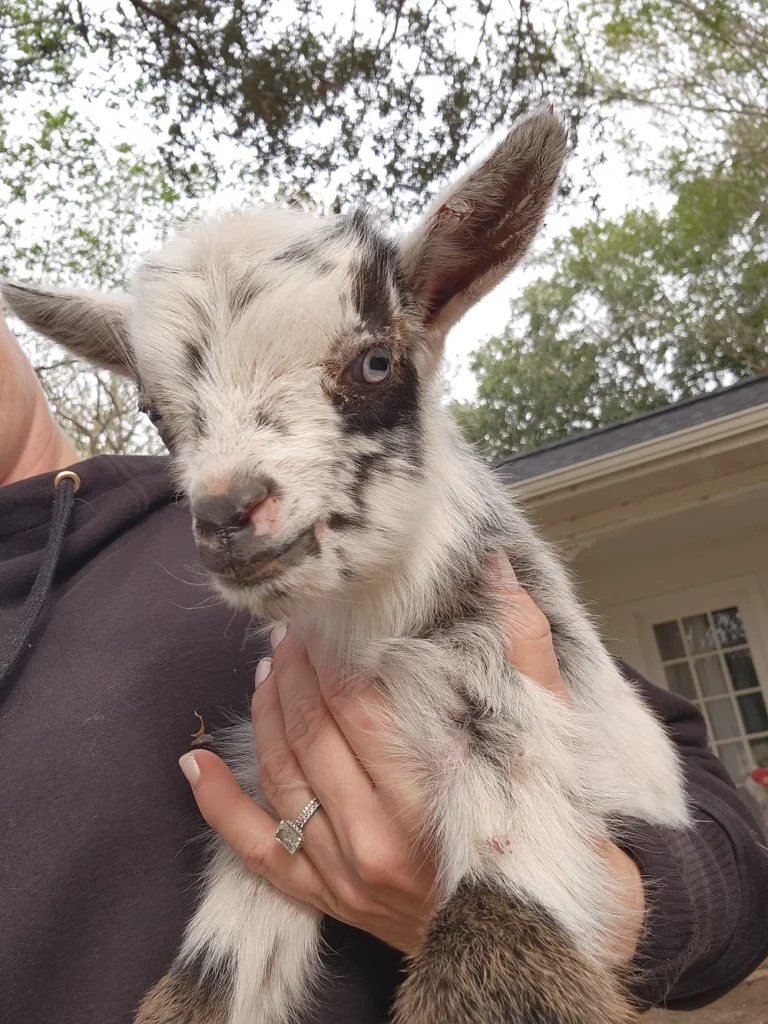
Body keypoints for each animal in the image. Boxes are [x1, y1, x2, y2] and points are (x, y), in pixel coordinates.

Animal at [3, 112, 692, 1024]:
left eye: (376, 362)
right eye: (155, 410)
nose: (227, 514)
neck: (373, 637)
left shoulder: (504, 726)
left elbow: (502, 952)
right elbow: (210, 981)